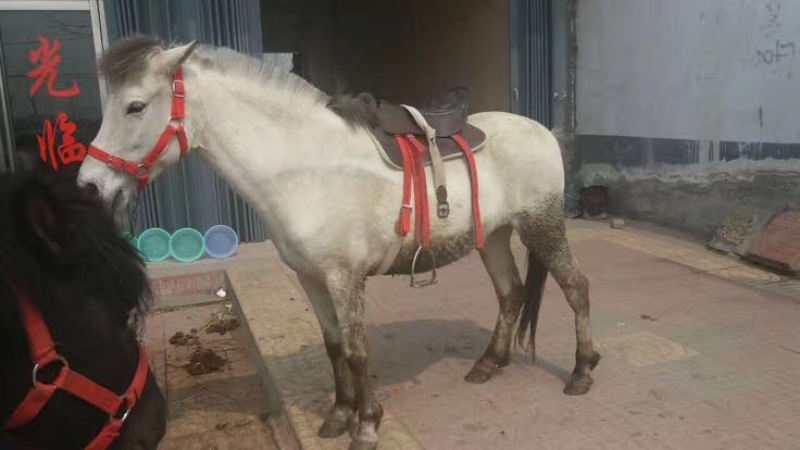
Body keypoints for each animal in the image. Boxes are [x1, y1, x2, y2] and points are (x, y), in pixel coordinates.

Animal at [77, 36, 599, 450]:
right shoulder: (310, 277)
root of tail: (543, 131)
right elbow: (332, 346)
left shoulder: (343, 277)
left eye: (135, 106)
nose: (89, 186)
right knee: (511, 293)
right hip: (493, 237)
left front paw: (366, 426)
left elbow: (356, 348)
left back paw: (582, 371)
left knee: (576, 287)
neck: (303, 167)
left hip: (543, 226)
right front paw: (337, 416)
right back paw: (489, 364)